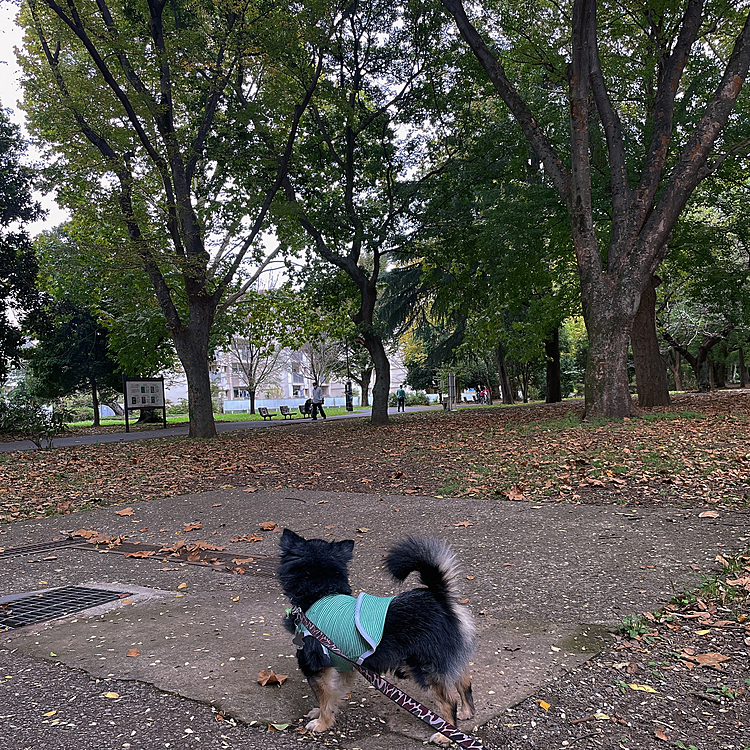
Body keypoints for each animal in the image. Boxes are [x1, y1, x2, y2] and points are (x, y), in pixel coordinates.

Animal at [276, 528, 476, 748]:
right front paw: (323, 712)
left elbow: (325, 697)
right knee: (464, 683)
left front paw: (323, 722)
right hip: (449, 662)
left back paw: (445, 735)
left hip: (425, 669)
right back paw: (466, 713)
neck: (321, 593)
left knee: (449, 701)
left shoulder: (317, 668)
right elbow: (335, 692)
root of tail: (439, 597)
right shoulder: (346, 665)